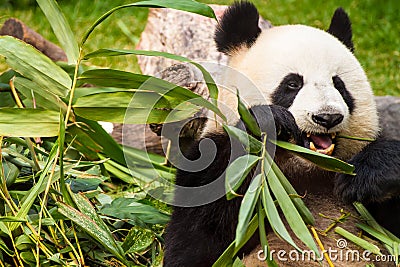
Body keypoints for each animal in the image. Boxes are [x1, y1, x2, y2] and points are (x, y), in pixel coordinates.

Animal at [162, 1, 400, 266]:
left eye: (339, 85)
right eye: (292, 84)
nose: (327, 117)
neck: (308, 170)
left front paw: (367, 175)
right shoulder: (206, 159)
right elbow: (195, 241)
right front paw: (268, 123)